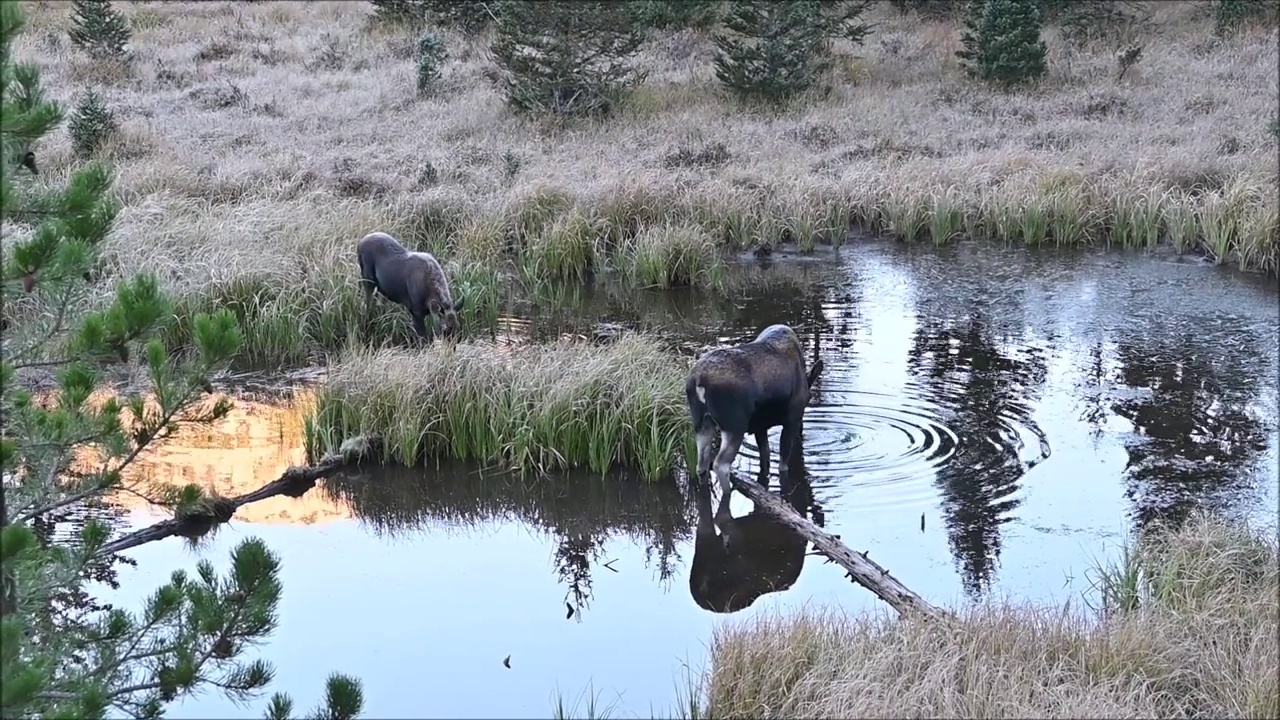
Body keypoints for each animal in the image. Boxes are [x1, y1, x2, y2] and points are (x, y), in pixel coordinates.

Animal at [686, 324, 824, 491]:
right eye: (807, 402)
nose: (801, 432)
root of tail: (698, 380)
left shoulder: (760, 426)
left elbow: (766, 458)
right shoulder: (791, 419)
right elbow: (782, 463)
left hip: (701, 422)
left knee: (701, 464)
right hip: (735, 424)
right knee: (721, 464)